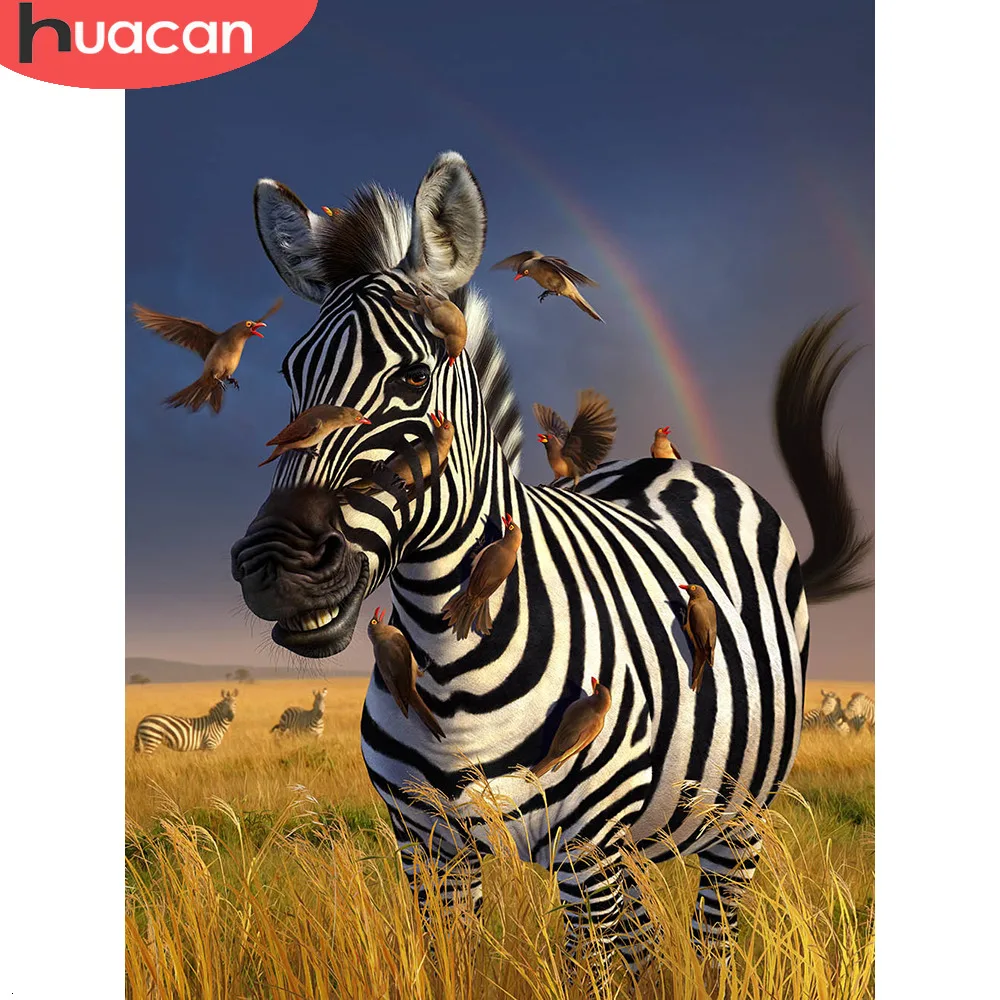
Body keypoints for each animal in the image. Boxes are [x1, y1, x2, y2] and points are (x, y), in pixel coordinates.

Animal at [230, 152, 872, 971]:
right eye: (289, 376)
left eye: (412, 379)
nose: (275, 566)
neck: (449, 665)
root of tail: (678, 464)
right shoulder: (427, 848)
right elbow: (457, 970)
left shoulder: (582, 847)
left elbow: (589, 970)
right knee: (647, 941)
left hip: (734, 818)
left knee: (712, 937)